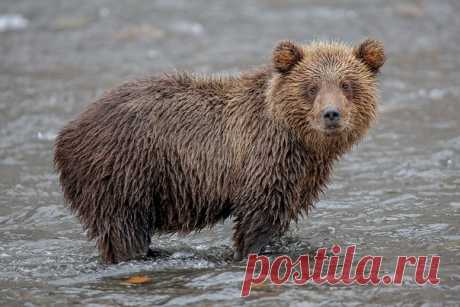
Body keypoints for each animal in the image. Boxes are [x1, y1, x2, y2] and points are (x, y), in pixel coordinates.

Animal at [53, 39, 384, 264]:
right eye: (312, 87)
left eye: (347, 84)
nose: (331, 114)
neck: (298, 139)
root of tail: (66, 132)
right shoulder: (262, 160)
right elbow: (258, 218)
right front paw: (250, 250)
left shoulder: (302, 175)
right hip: (123, 171)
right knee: (124, 227)